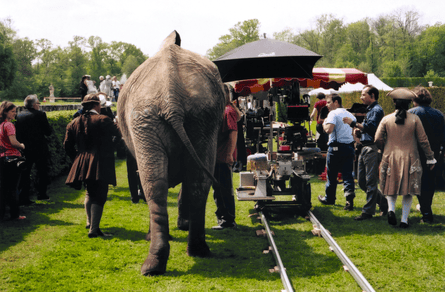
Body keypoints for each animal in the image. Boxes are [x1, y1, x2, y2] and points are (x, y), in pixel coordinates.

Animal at [117, 31, 225, 276]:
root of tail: (170, 96)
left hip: (146, 120)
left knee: (154, 184)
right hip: (198, 117)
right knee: (192, 181)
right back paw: (190, 253)